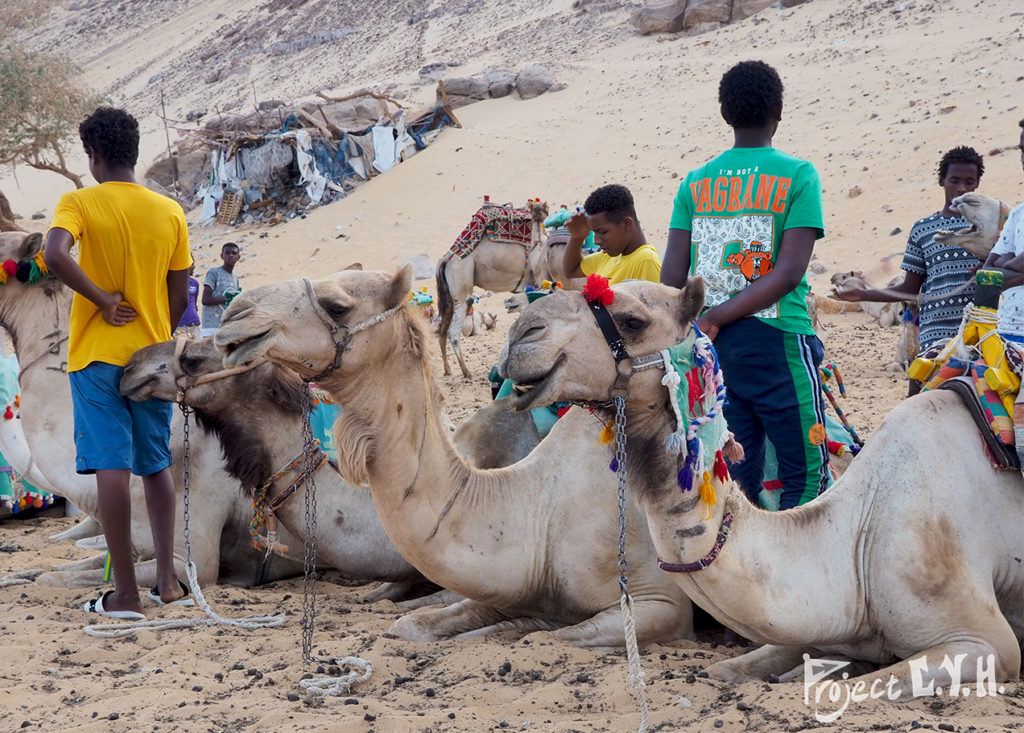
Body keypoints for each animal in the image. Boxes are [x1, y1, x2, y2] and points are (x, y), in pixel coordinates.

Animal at [216, 266, 696, 651]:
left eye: (338, 306)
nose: (233, 314)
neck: (538, 518)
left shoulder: (660, 604)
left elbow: (553, 636)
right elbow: (408, 625)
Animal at [440, 198, 552, 378]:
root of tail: (446, 259)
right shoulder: (540, 280)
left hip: (449, 298)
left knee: (442, 331)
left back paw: (448, 369)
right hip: (461, 290)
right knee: (454, 332)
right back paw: (466, 371)